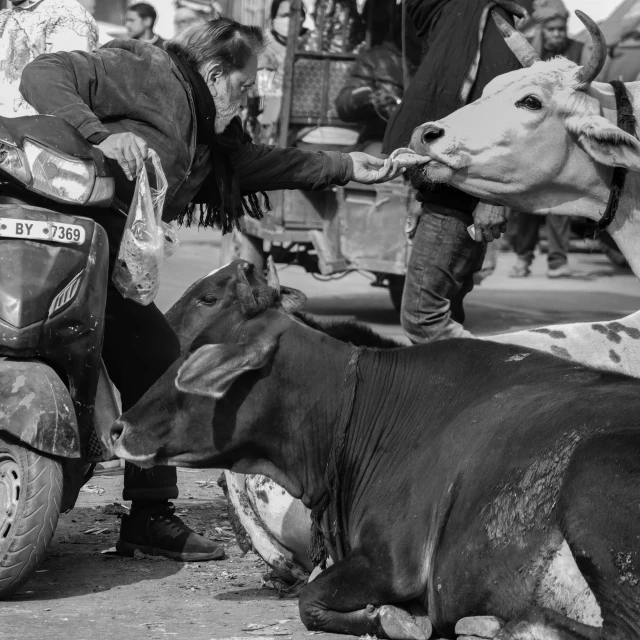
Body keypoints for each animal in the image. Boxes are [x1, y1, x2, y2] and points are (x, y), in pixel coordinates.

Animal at [115, 262, 640, 640]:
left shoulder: (395, 563)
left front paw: (393, 619)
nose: (119, 425)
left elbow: (309, 602)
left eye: (208, 301)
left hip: (595, 489)